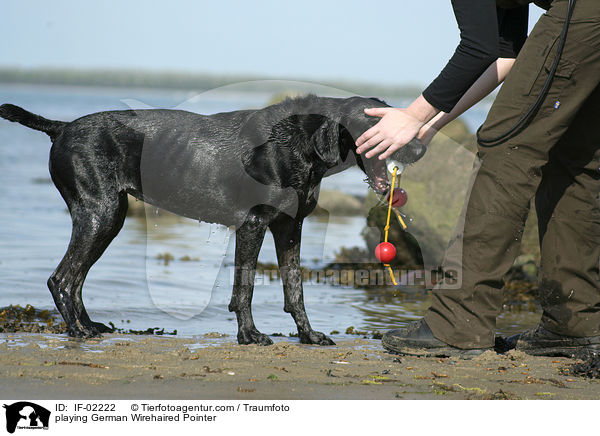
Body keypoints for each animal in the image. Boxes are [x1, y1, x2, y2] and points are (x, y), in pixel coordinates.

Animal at [0, 94, 424, 344]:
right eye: (378, 123)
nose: (420, 146)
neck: (295, 142)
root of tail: (60, 128)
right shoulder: (252, 225)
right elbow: (245, 287)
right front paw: (250, 334)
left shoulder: (290, 228)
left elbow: (295, 288)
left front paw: (308, 335)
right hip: (100, 214)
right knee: (62, 278)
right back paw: (77, 330)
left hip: (106, 217)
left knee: (75, 279)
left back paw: (89, 325)